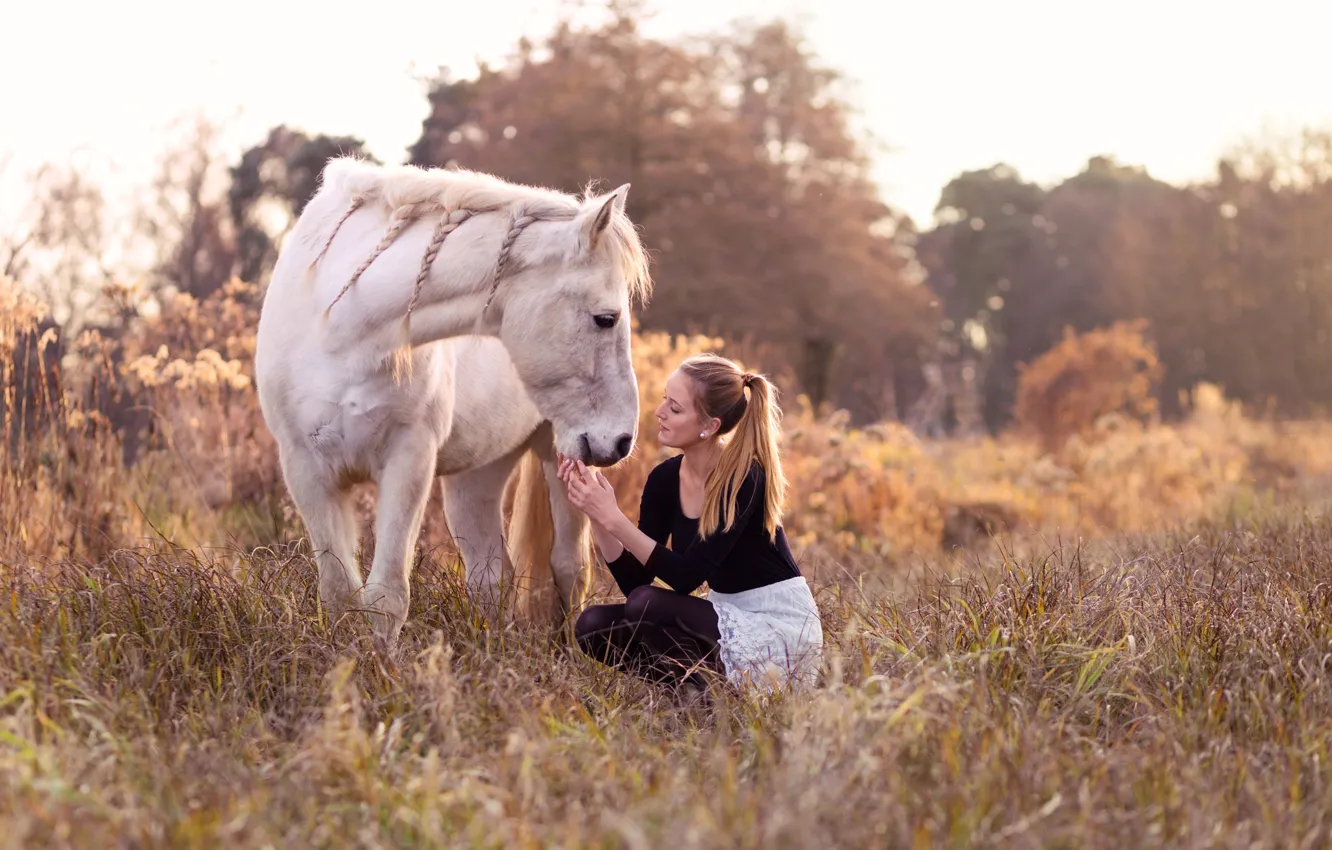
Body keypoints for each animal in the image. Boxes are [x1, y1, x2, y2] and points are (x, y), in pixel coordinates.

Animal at [254, 157, 651, 648]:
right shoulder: (306, 469)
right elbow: (340, 594)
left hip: (557, 456)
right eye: (605, 319)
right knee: (491, 577)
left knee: (568, 569)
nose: (621, 441)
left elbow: (387, 595)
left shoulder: (409, 460)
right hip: (477, 476)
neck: (338, 328)